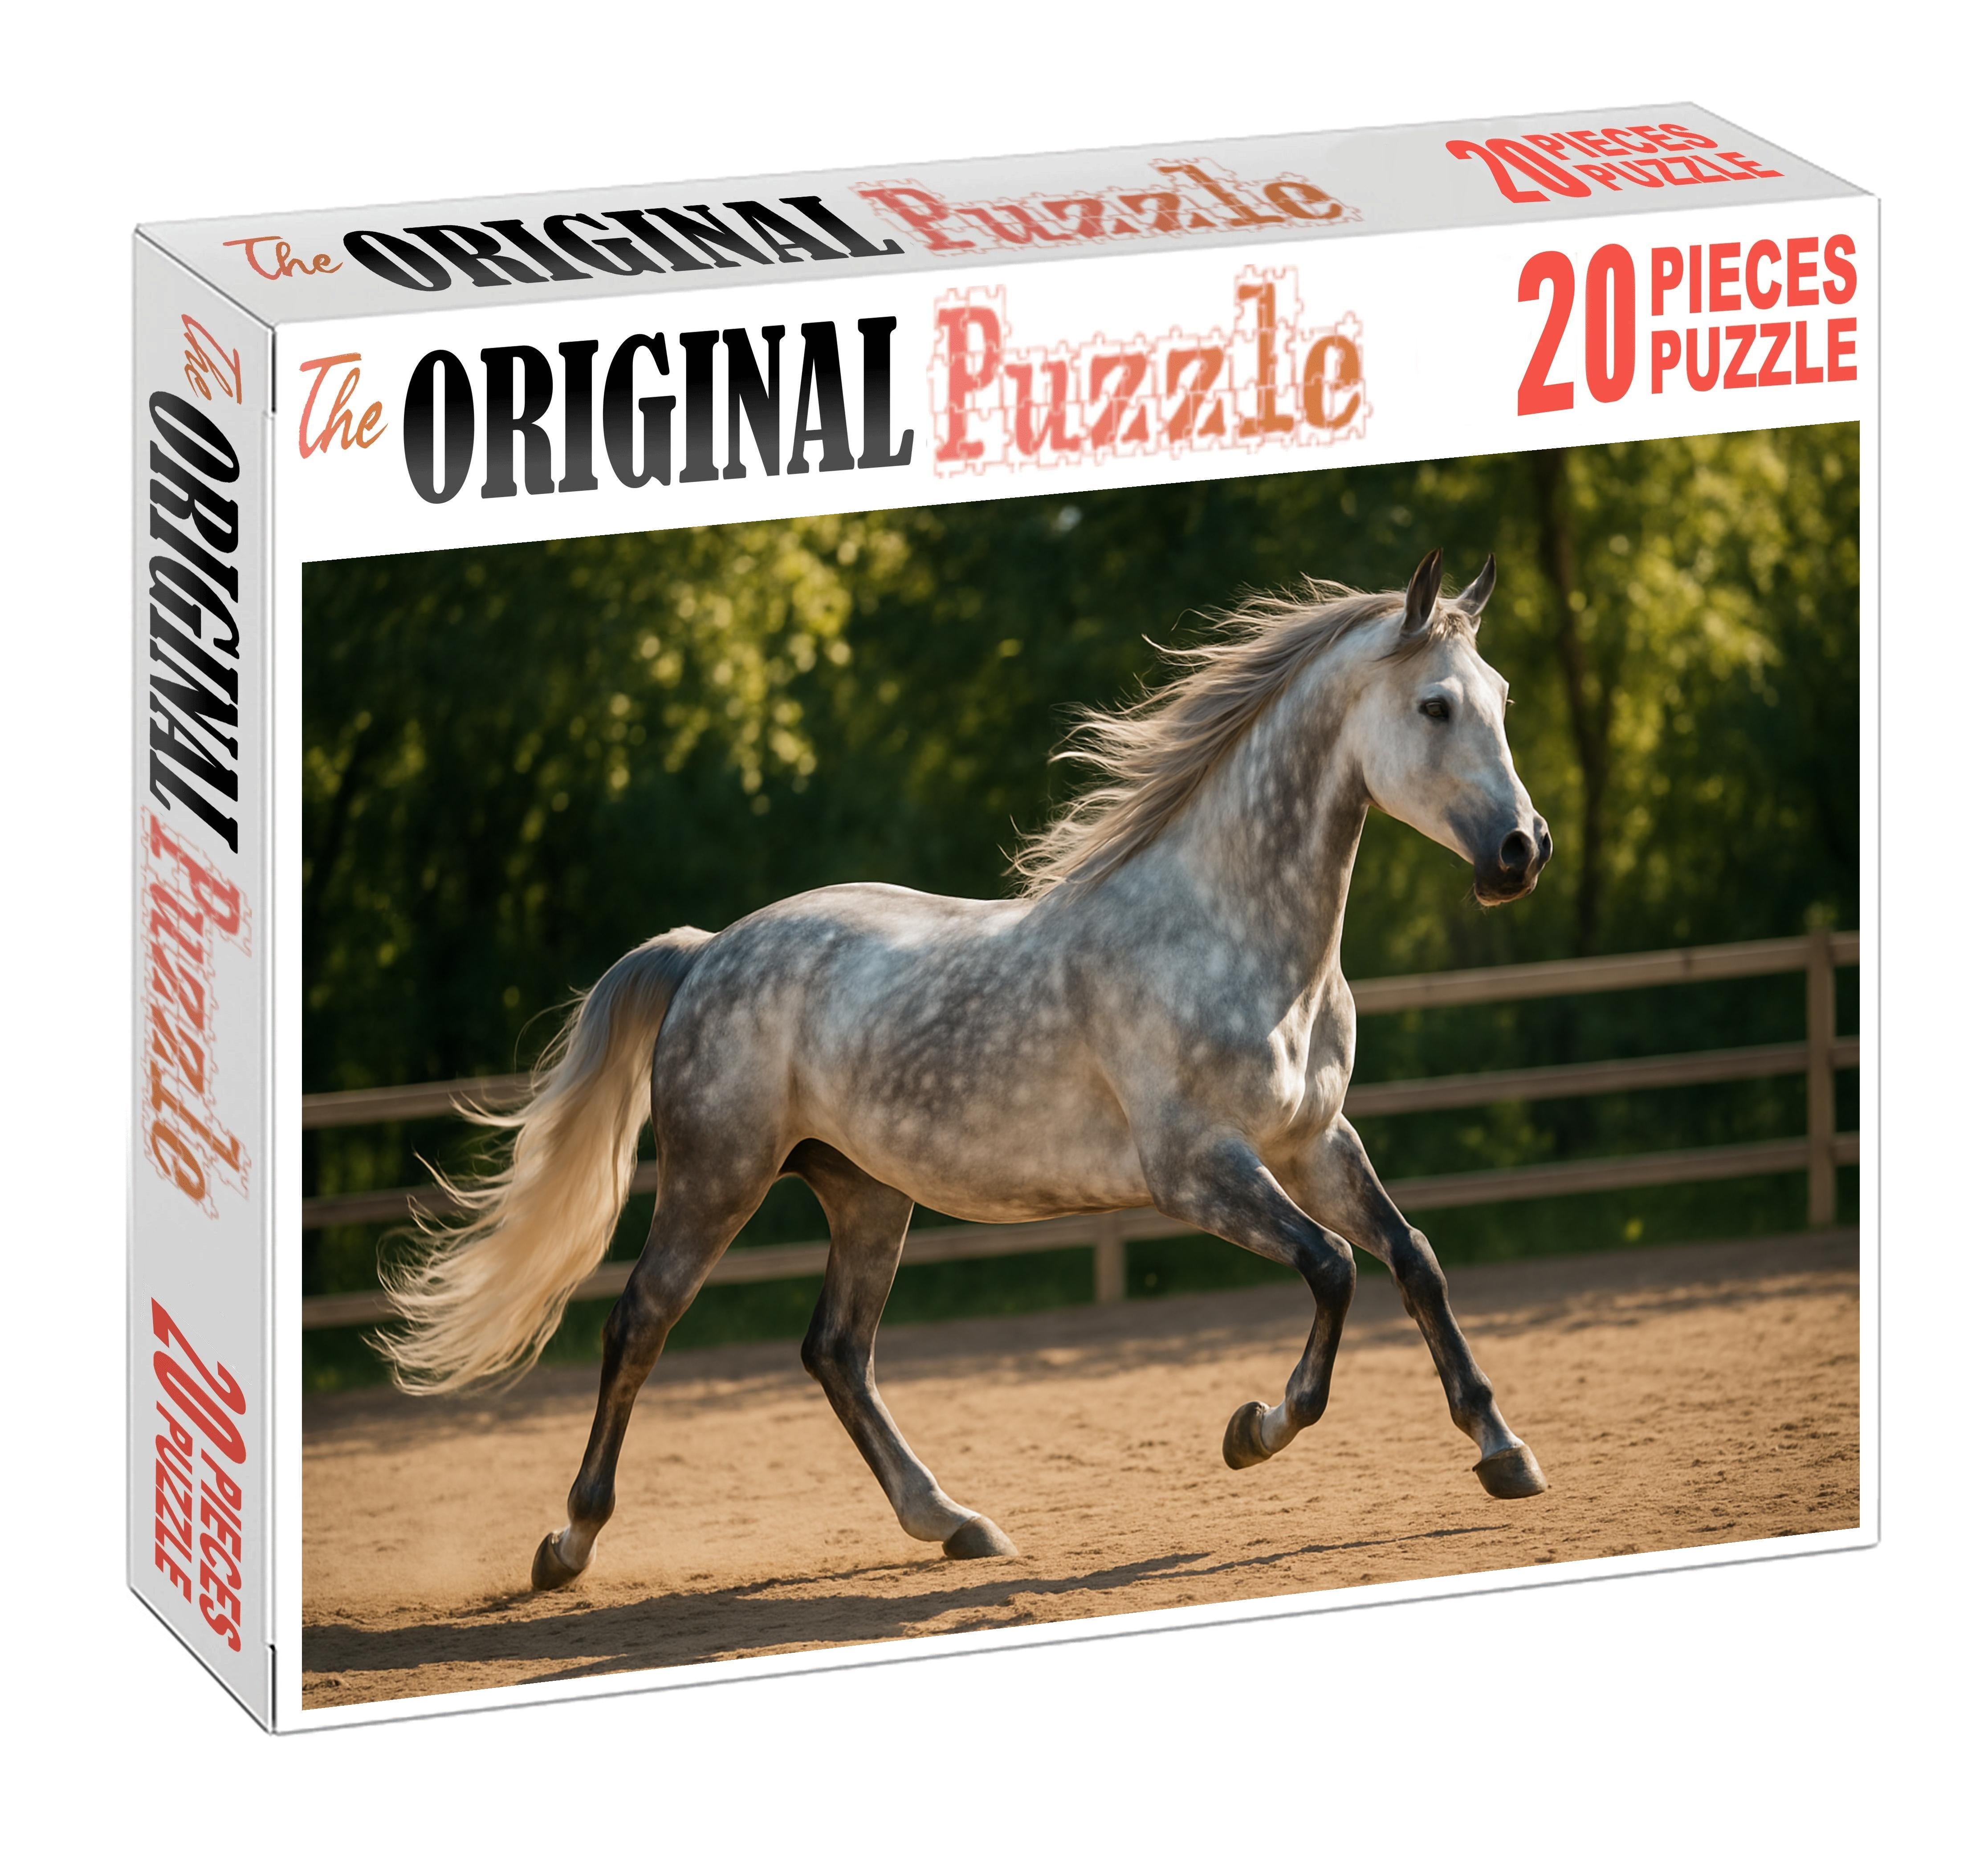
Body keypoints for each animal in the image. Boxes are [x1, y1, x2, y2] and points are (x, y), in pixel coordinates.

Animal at [378, 546, 1554, 1590]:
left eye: (1500, 696)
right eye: (1435, 706)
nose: (1523, 850)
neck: (1234, 938)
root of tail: (706, 949)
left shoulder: (1313, 1144)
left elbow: (1413, 1258)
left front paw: (1504, 1452)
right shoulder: (1199, 1170)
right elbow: (1334, 1268)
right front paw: (1252, 1429)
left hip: (865, 1192)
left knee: (835, 1351)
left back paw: (952, 1521)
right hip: (717, 1179)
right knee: (641, 1323)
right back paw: (567, 1545)